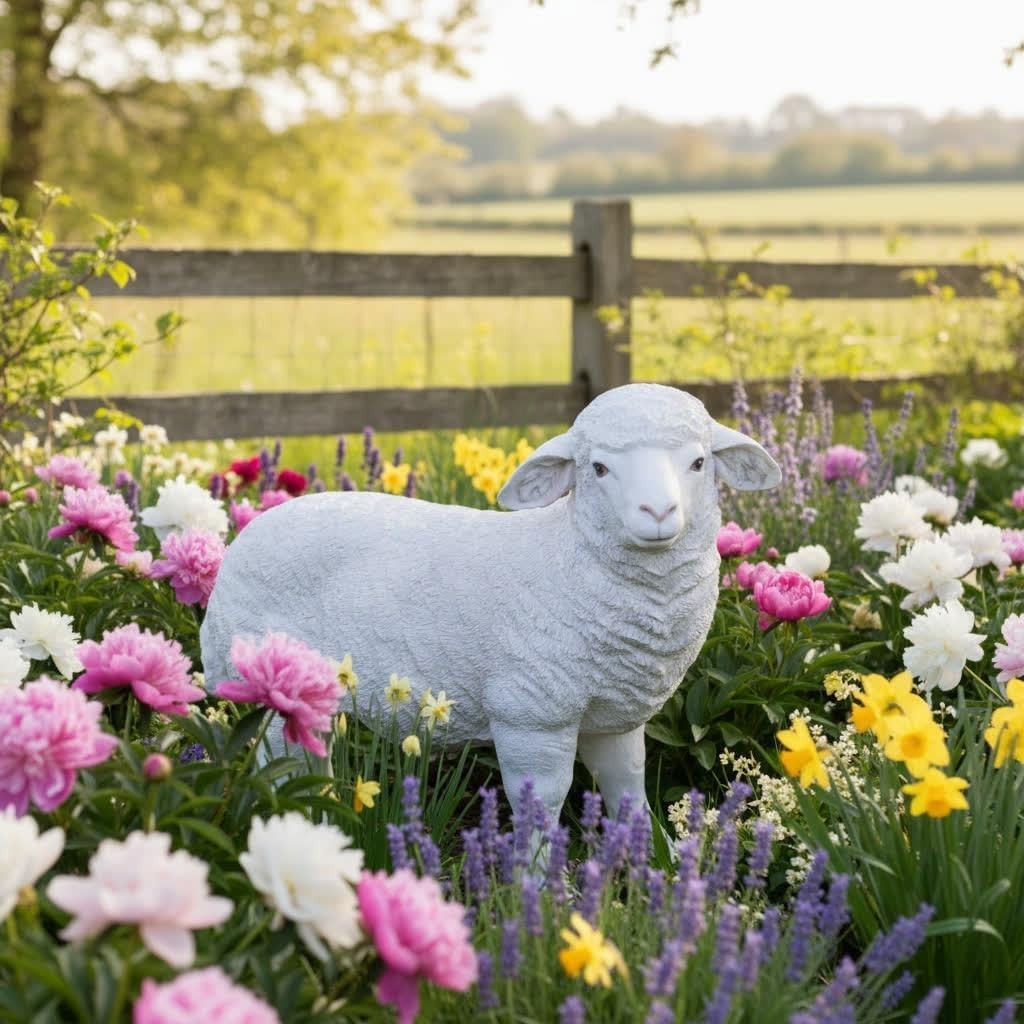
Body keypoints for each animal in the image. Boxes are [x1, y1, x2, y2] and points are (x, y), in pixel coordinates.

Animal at [200, 383, 780, 826]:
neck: (568, 558)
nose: (658, 512)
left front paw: (651, 869)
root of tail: (237, 546)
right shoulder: (531, 714)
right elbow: (543, 803)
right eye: (598, 469)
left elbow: (627, 791)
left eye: (699, 463)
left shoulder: (614, 719)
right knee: (279, 770)